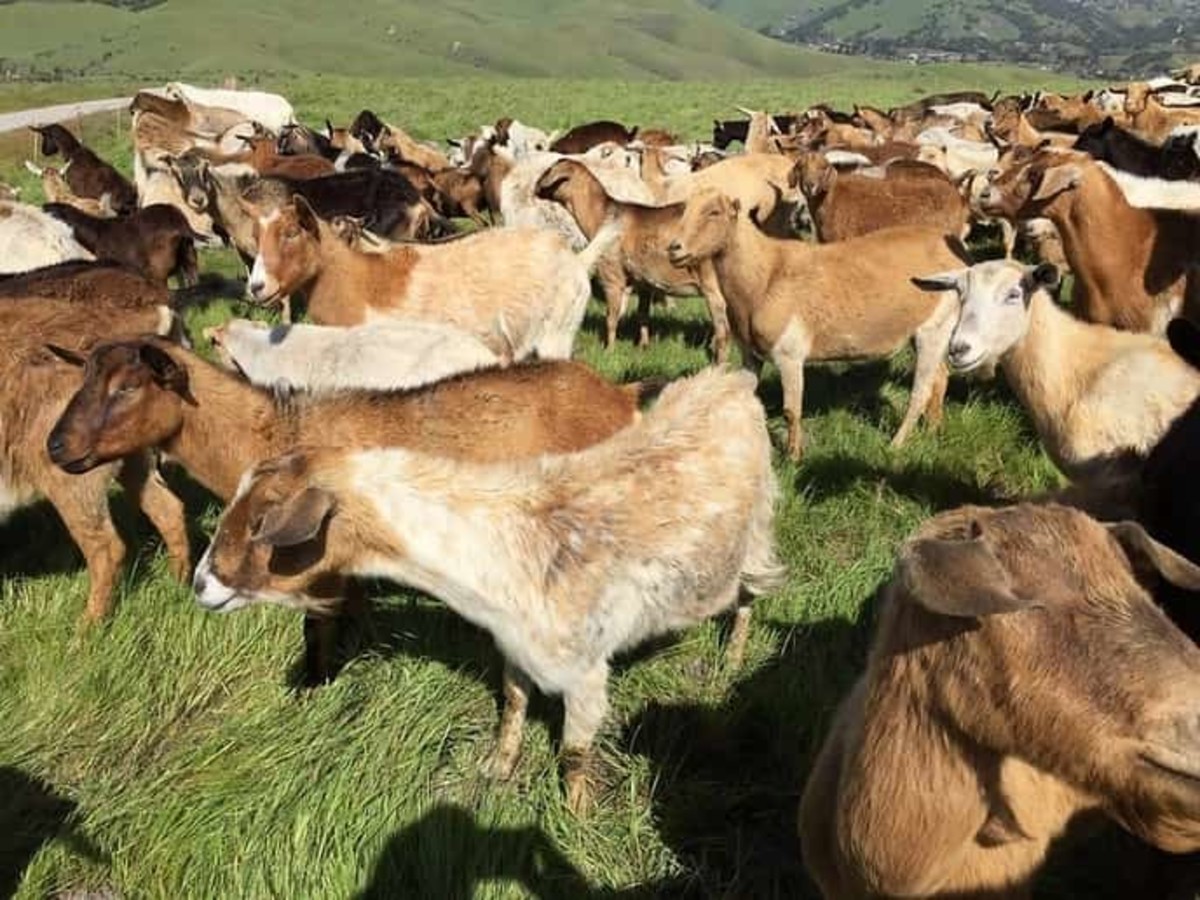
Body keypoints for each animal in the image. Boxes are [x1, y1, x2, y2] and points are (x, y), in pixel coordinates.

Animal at [43, 203, 200, 287]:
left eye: (51, 211)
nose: (42, 206)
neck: (98, 233)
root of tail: (181, 224)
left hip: (159, 266)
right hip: (189, 255)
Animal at [191, 367, 783, 814]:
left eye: (262, 522)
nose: (200, 583)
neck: (502, 540)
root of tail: (731, 379)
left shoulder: (585, 672)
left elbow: (574, 752)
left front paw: (577, 818)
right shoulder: (515, 644)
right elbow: (513, 702)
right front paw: (498, 767)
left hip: (757, 535)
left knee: (750, 597)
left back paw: (733, 658)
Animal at [666, 188, 964, 460]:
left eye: (714, 212)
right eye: (684, 209)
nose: (674, 248)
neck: (765, 274)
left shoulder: (789, 354)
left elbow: (791, 411)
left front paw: (794, 457)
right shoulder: (751, 353)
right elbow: (748, 395)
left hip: (934, 328)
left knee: (921, 390)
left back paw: (896, 445)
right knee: (940, 378)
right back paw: (933, 430)